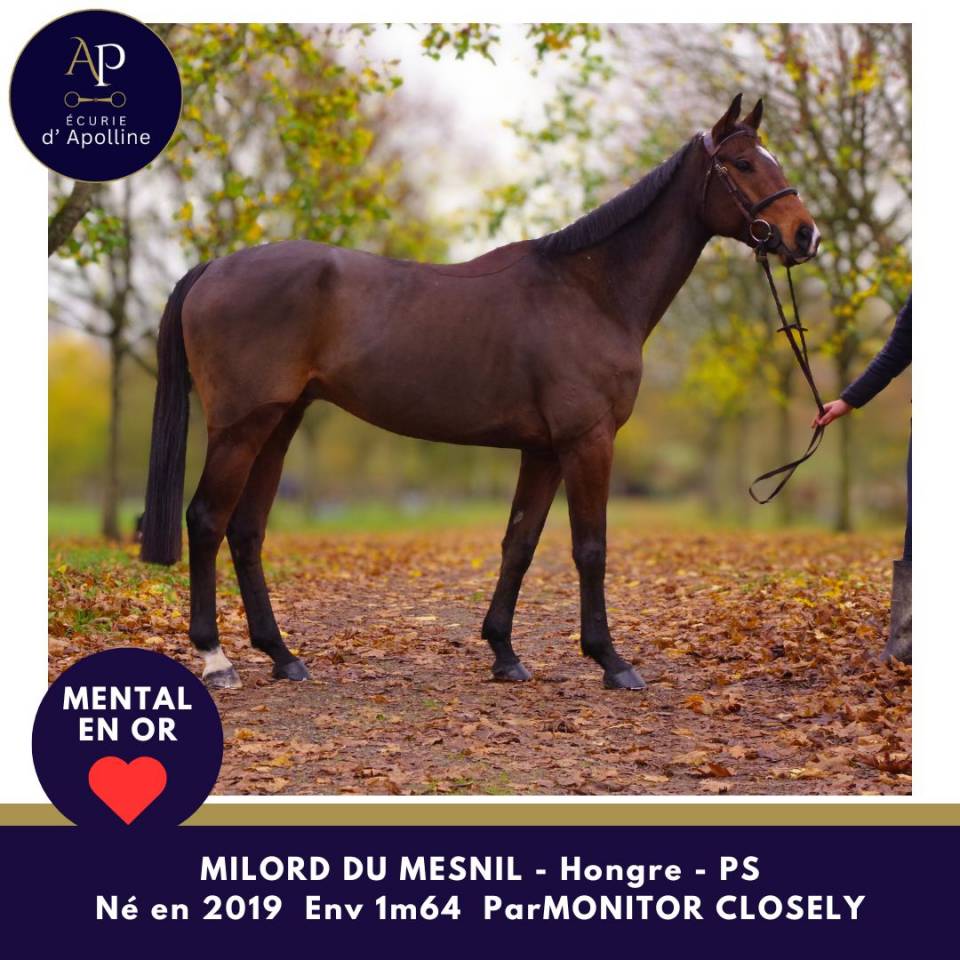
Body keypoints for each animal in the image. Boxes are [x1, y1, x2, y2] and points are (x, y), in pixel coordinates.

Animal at [141, 94, 820, 691]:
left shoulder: (543, 450)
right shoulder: (587, 441)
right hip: (241, 426)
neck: (589, 291)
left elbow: (519, 543)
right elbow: (590, 547)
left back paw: (283, 657)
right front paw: (611, 661)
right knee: (207, 520)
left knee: (246, 530)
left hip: (280, 423)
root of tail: (214, 268)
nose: (804, 235)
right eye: (742, 164)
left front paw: (504, 654)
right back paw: (217, 660)